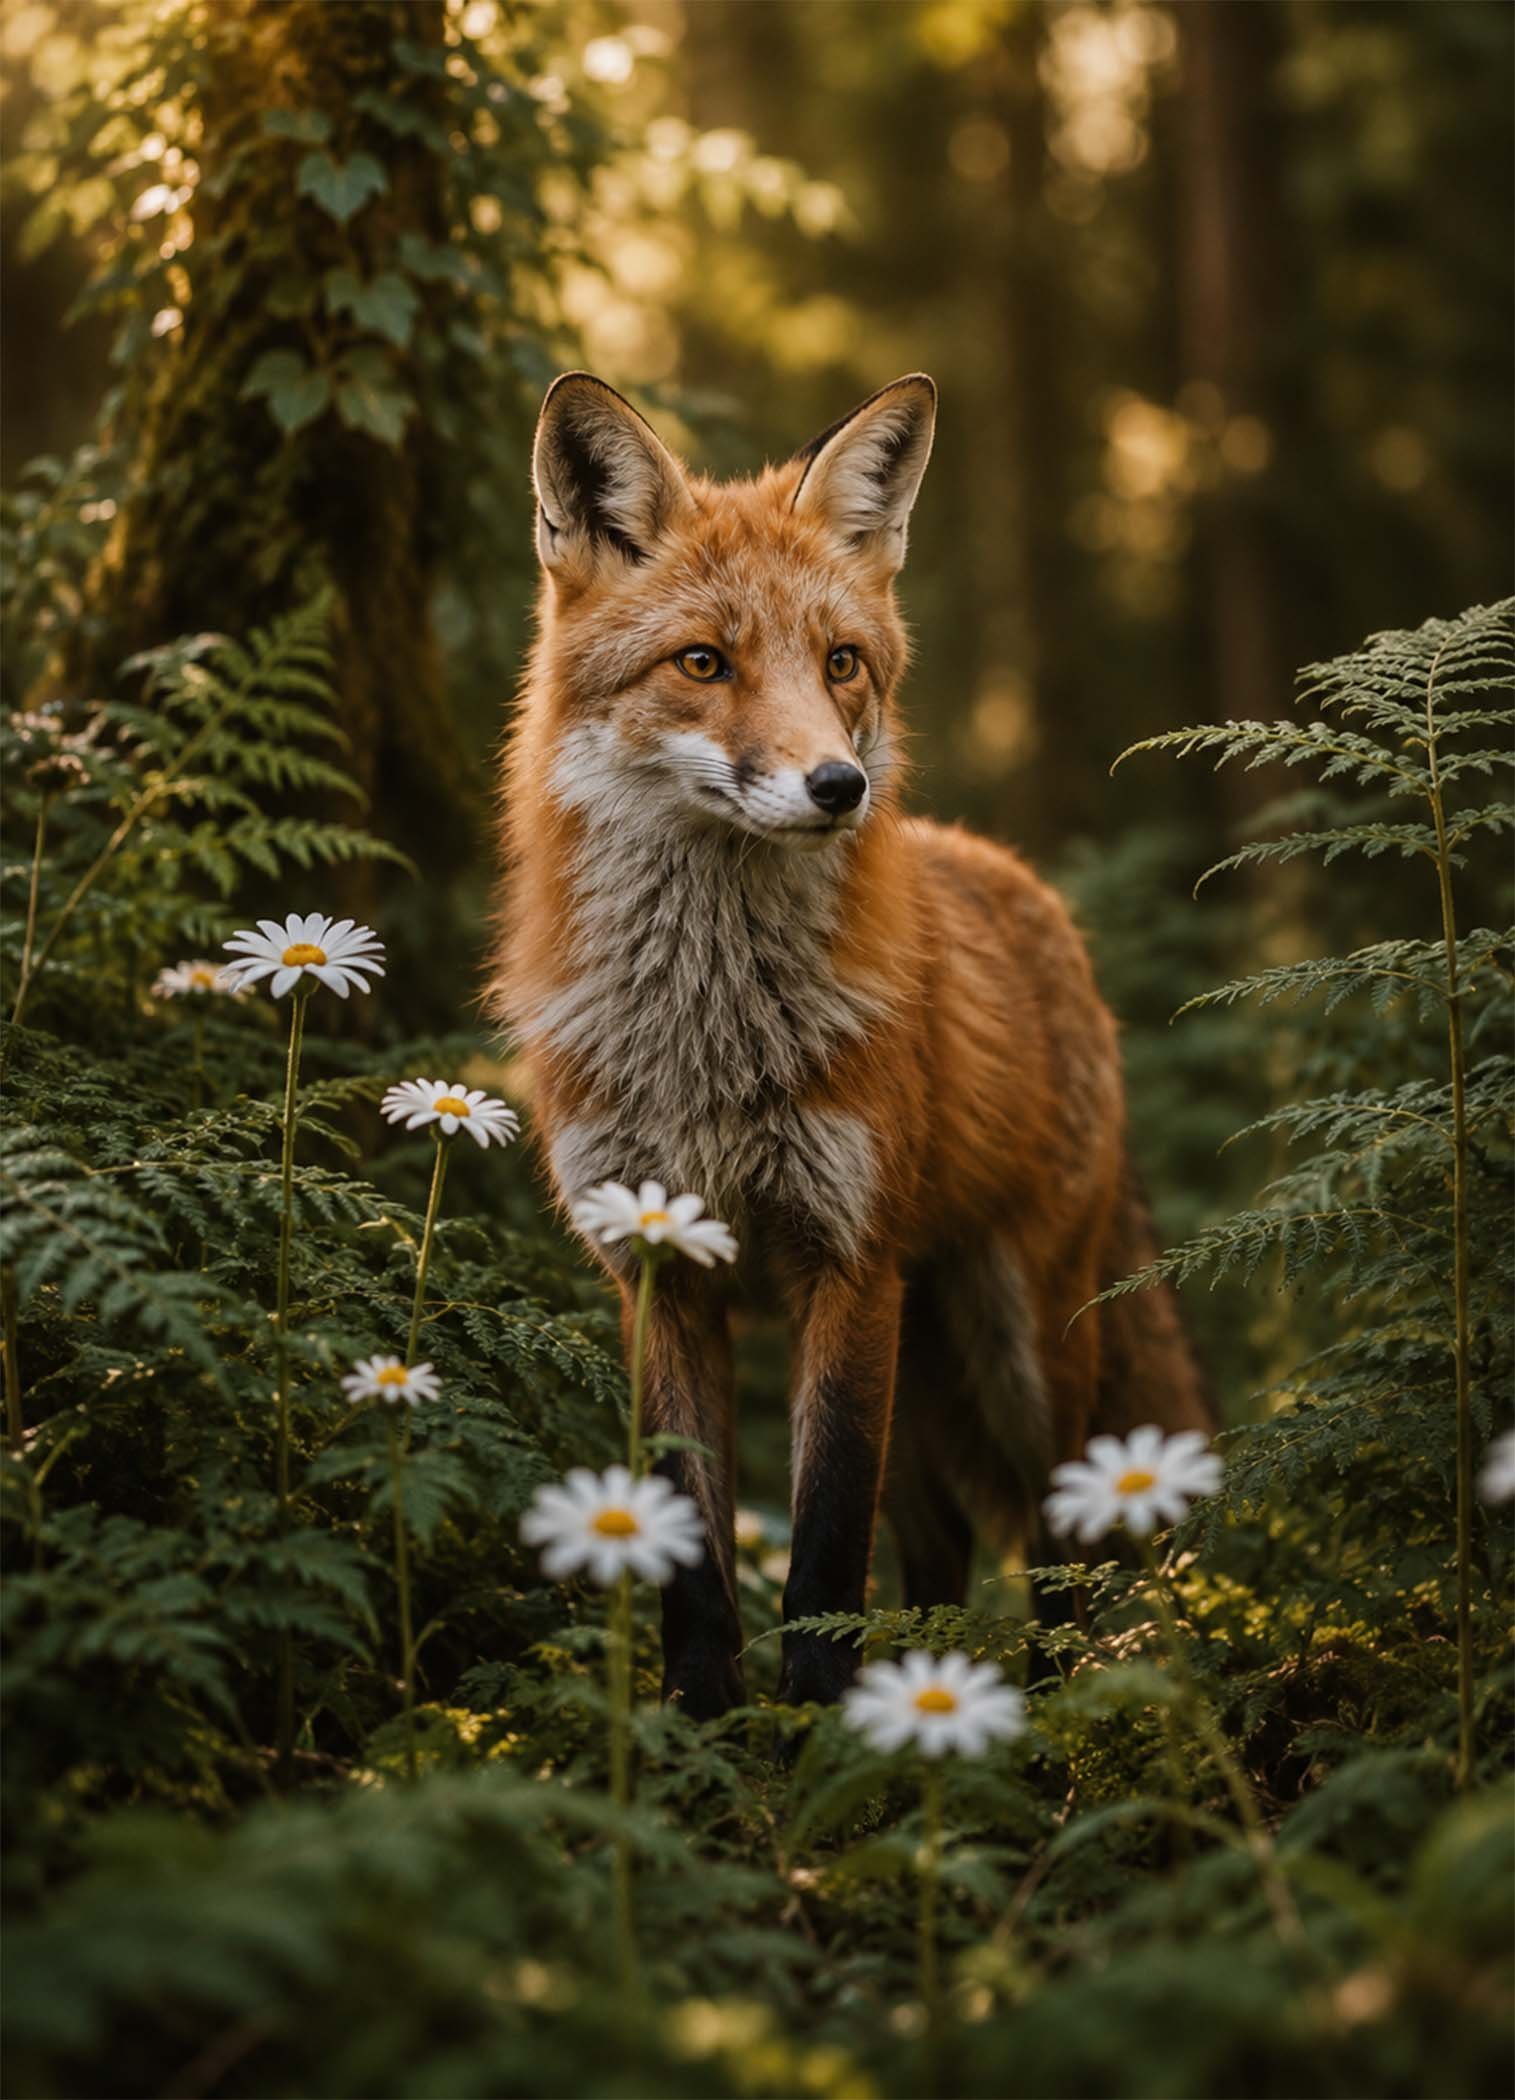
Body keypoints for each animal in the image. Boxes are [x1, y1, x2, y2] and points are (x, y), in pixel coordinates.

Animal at [495, 370, 1210, 1720]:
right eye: (704, 662)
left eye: (841, 664)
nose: (839, 787)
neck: (708, 1041)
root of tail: (1018, 882)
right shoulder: (657, 1268)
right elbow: (691, 1550)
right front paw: (701, 1729)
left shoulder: (849, 1259)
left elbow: (825, 1549)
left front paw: (820, 1740)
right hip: (929, 1368)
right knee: (942, 1542)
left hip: (1018, 1341)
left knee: (1061, 1536)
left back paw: (1045, 1716)